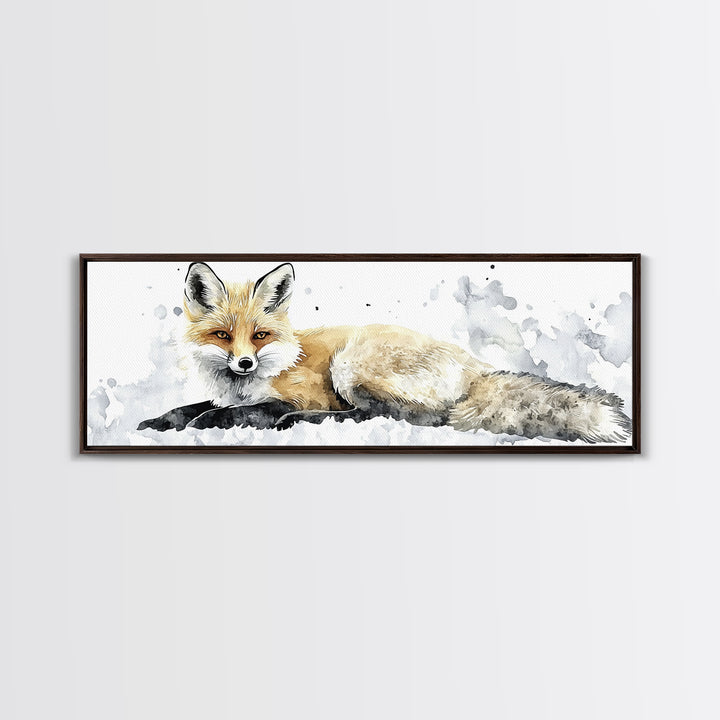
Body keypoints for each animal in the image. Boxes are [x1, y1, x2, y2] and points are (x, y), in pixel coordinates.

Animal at [138, 261, 632, 443]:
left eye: (259, 336)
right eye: (223, 336)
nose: (244, 362)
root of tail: (475, 368)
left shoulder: (296, 393)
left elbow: (240, 411)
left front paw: (211, 423)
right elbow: (187, 407)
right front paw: (156, 423)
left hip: (350, 366)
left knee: (391, 415)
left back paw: (297, 422)